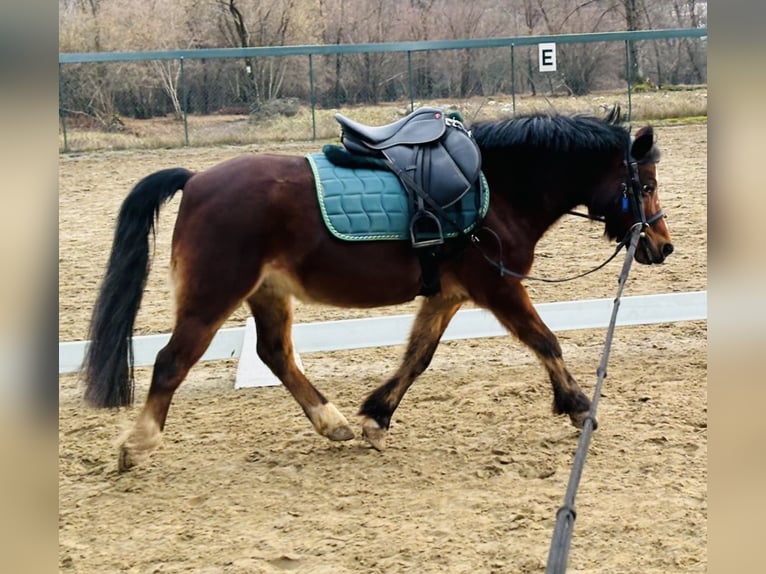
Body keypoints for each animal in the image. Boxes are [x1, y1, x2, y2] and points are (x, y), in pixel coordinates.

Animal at [82, 108, 673, 471]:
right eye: (644, 185)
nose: (662, 246)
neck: (500, 188)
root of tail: (197, 179)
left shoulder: (448, 293)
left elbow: (418, 356)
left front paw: (376, 417)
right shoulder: (498, 287)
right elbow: (546, 340)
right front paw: (578, 406)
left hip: (267, 293)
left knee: (275, 354)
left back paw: (334, 424)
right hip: (212, 298)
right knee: (171, 362)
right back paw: (137, 445)